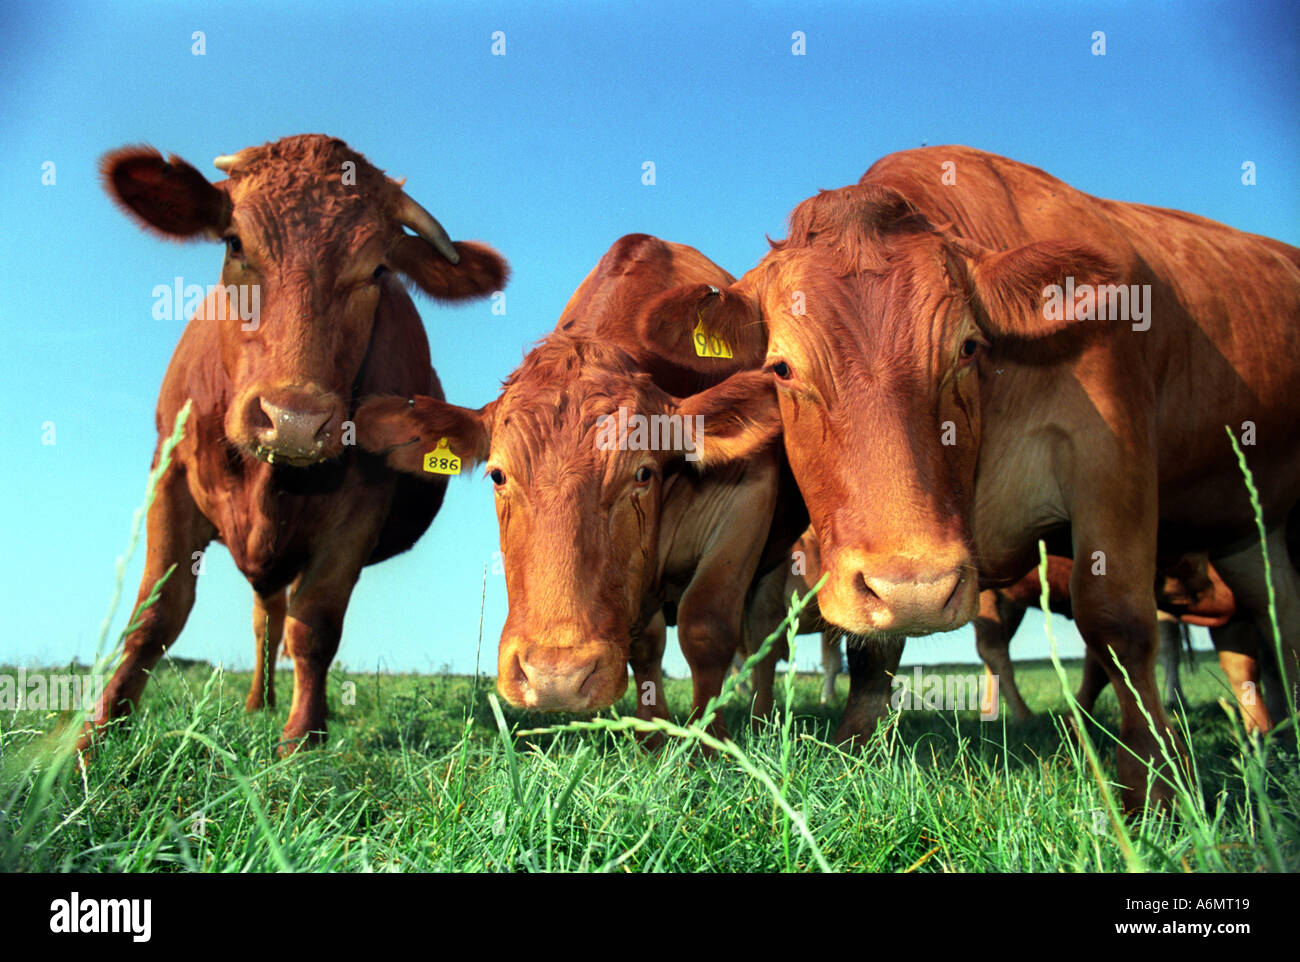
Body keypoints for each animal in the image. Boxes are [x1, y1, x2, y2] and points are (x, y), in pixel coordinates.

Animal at [80, 135, 507, 753]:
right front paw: (98, 730)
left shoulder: (360, 505)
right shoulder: (170, 473)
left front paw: (302, 738)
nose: (294, 421)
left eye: (378, 268)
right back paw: (257, 702)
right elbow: (156, 611)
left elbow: (316, 625)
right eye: (235, 243)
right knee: (264, 618)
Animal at [356, 235, 804, 735]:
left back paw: (764, 721)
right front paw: (652, 740)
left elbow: (705, 630)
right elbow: (645, 646)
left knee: (764, 634)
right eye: (498, 474)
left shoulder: (745, 506)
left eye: (642, 474)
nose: (556, 678)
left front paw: (709, 742)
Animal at [635, 146, 1300, 808]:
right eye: (781, 368)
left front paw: (1152, 784)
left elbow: (1117, 621)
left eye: (968, 348)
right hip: (1249, 532)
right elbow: (873, 648)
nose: (917, 590)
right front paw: (852, 750)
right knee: (1274, 620)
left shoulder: (1113, 458)